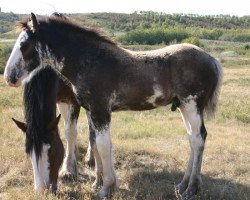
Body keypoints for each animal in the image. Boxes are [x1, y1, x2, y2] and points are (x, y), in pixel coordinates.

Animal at [3, 13, 223, 198]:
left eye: (24, 44)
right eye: (28, 151)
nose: (9, 77)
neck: (90, 61)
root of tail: (212, 59)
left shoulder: (101, 111)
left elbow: (103, 145)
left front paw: (107, 188)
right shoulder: (91, 111)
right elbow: (95, 144)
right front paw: (97, 182)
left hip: (192, 105)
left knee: (198, 138)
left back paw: (192, 188)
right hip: (183, 106)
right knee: (192, 138)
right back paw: (182, 184)